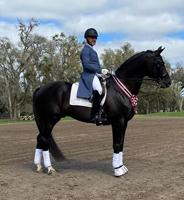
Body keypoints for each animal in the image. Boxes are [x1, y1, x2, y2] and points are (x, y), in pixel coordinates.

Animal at [32, 46, 171, 177]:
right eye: (159, 63)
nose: (168, 82)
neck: (121, 88)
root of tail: (40, 88)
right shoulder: (118, 121)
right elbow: (116, 144)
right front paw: (118, 170)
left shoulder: (124, 122)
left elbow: (121, 144)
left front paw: (122, 167)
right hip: (50, 119)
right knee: (45, 140)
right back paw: (50, 169)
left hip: (45, 121)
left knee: (40, 138)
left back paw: (39, 167)